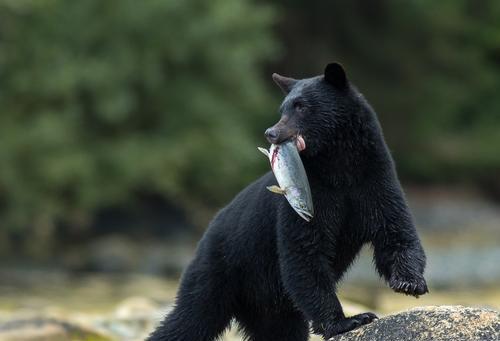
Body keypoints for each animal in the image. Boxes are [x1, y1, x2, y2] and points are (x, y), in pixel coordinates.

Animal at [146, 63, 428, 340]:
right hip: (220, 270)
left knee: (279, 330)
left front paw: (409, 282)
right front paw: (348, 320)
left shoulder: (374, 179)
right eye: (283, 108)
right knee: (190, 318)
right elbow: (304, 251)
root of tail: (206, 233)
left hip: (268, 304)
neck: (340, 166)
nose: (271, 133)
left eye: (301, 106)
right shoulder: (310, 195)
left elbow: (394, 229)